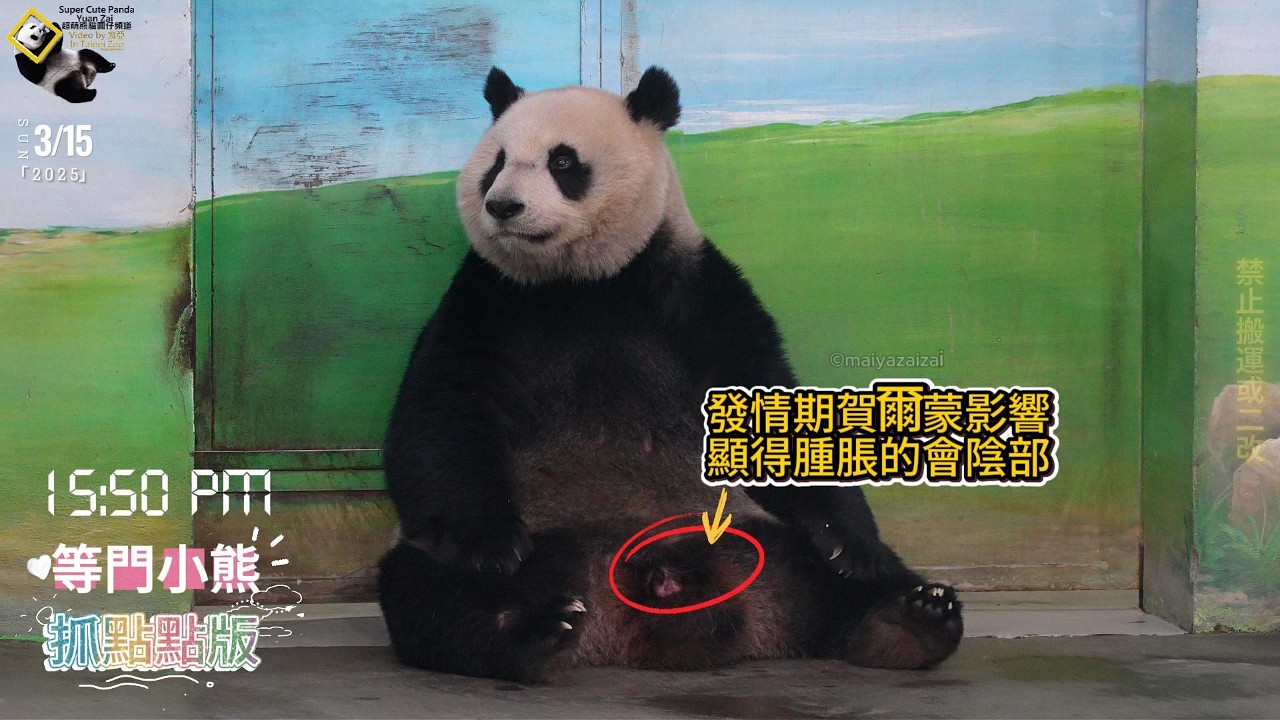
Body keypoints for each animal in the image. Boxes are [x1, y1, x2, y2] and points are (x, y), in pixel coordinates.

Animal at [378, 66, 963, 682]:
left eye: (562, 161)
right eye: (497, 160)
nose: (502, 205)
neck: (582, 280)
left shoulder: (696, 286)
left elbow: (769, 399)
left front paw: (851, 544)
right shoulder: (489, 297)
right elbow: (445, 406)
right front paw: (491, 547)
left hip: (758, 530)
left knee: (860, 579)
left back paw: (908, 620)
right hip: (530, 540)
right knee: (428, 593)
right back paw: (533, 632)